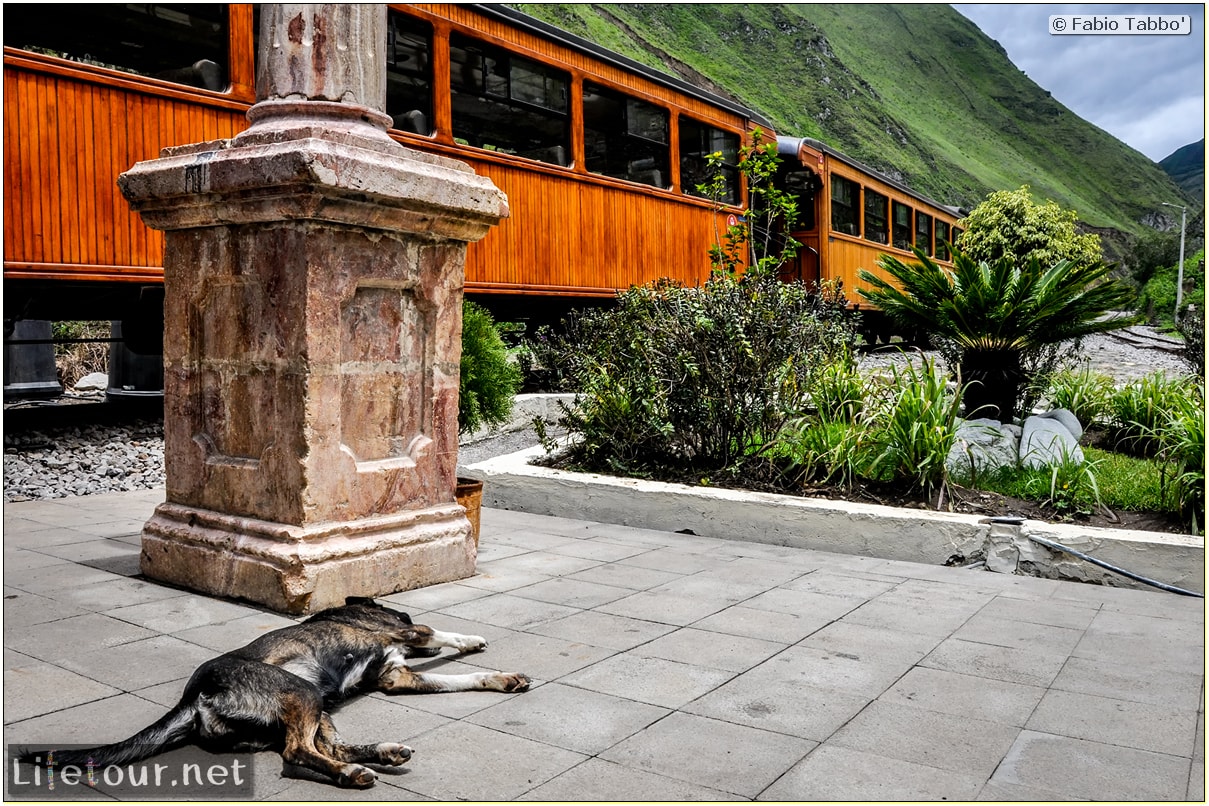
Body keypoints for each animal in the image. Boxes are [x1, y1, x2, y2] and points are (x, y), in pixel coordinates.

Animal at [18, 599, 529, 787]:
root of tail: (194, 697)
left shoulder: (395, 677)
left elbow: (461, 677)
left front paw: (500, 678)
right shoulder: (399, 634)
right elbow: (434, 630)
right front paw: (472, 641)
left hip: (318, 707)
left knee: (327, 746)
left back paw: (380, 754)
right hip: (303, 692)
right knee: (296, 752)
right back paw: (352, 773)